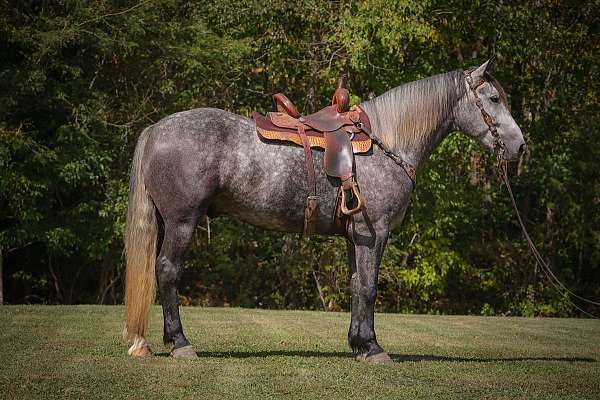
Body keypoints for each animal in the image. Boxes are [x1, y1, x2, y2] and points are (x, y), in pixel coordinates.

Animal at [123, 59, 524, 362]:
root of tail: (156, 129)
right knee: (168, 271)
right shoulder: (374, 233)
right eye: (493, 98)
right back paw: (180, 343)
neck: (387, 142)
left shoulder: (355, 236)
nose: (519, 146)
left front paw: (359, 345)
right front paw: (373, 348)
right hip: (182, 222)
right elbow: (370, 287)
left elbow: (356, 286)